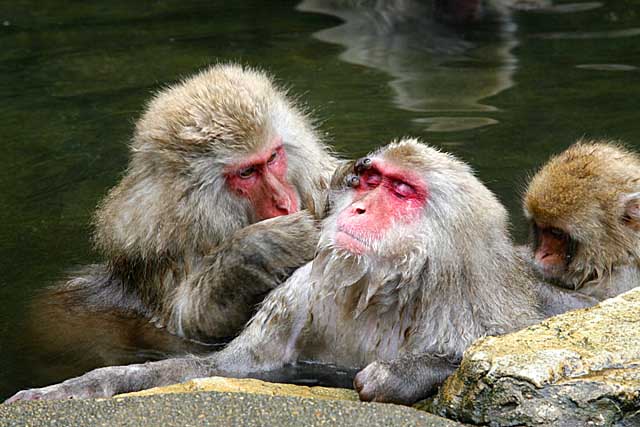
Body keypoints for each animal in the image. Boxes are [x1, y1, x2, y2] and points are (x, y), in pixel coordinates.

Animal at [6, 139, 596, 406]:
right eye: (371, 181)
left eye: (402, 190)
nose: (358, 207)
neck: (384, 293)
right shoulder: (302, 294)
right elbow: (229, 368)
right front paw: (85, 386)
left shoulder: (472, 305)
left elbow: (494, 345)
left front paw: (401, 373)